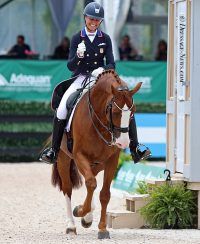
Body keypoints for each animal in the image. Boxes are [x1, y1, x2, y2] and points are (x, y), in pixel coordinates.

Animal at [51, 69, 142, 239]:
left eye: (133, 113)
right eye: (115, 111)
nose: (123, 143)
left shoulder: (112, 160)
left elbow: (104, 193)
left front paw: (102, 228)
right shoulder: (79, 156)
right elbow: (91, 183)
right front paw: (80, 211)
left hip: (97, 163)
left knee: (91, 180)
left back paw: (87, 217)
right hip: (63, 158)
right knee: (68, 188)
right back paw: (71, 226)